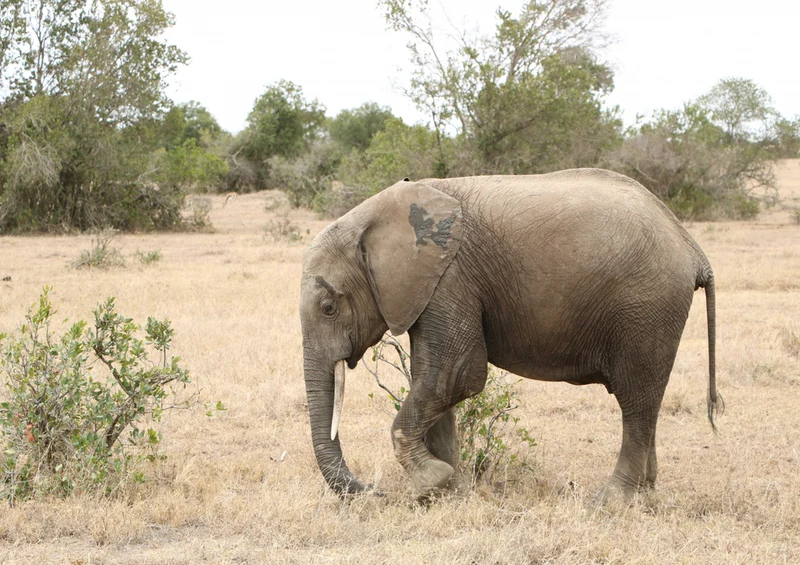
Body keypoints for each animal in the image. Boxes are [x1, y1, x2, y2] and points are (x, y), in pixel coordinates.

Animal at [299, 168, 721, 500]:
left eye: (329, 307)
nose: (375, 492)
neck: (376, 216)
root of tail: (693, 250)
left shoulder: (451, 278)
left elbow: (455, 376)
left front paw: (431, 481)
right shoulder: (431, 288)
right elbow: (434, 381)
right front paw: (448, 492)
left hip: (647, 306)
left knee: (635, 401)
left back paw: (611, 501)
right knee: (645, 403)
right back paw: (645, 494)